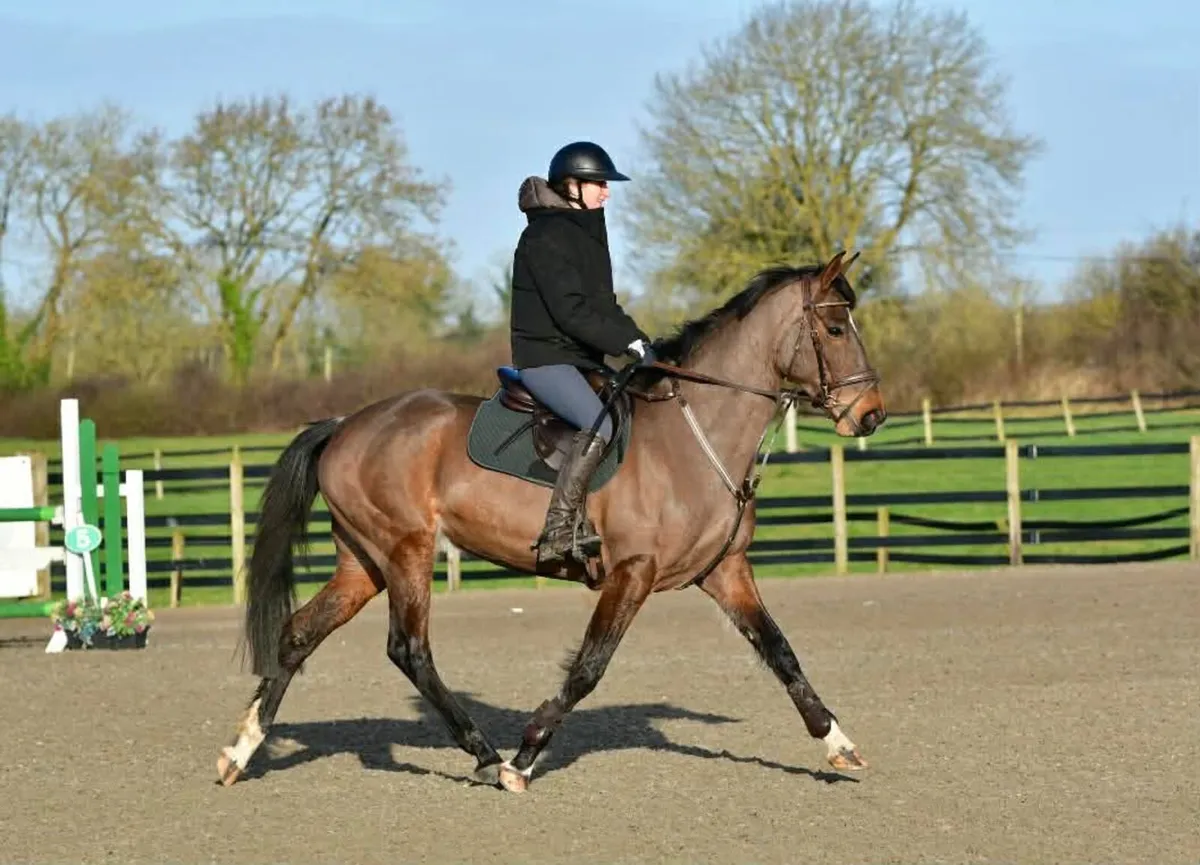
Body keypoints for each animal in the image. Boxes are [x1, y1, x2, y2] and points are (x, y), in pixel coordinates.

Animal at [216, 250, 887, 793]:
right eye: (834, 327)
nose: (872, 415)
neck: (696, 437)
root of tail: (344, 425)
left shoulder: (724, 572)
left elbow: (780, 651)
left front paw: (839, 744)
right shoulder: (633, 572)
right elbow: (590, 666)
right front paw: (525, 757)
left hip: (364, 561)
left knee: (300, 634)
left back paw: (240, 751)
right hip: (406, 550)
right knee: (409, 649)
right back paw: (487, 756)